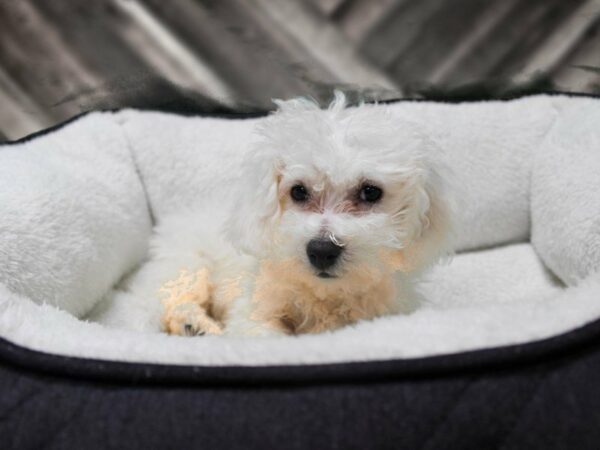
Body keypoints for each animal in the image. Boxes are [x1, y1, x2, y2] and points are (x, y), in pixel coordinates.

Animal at [161, 92, 454, 338]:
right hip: (186, 265)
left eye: (371, 192)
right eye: (298, 191)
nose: (322, 250)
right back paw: (193, 323)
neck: (325, 294)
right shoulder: (253, 308)